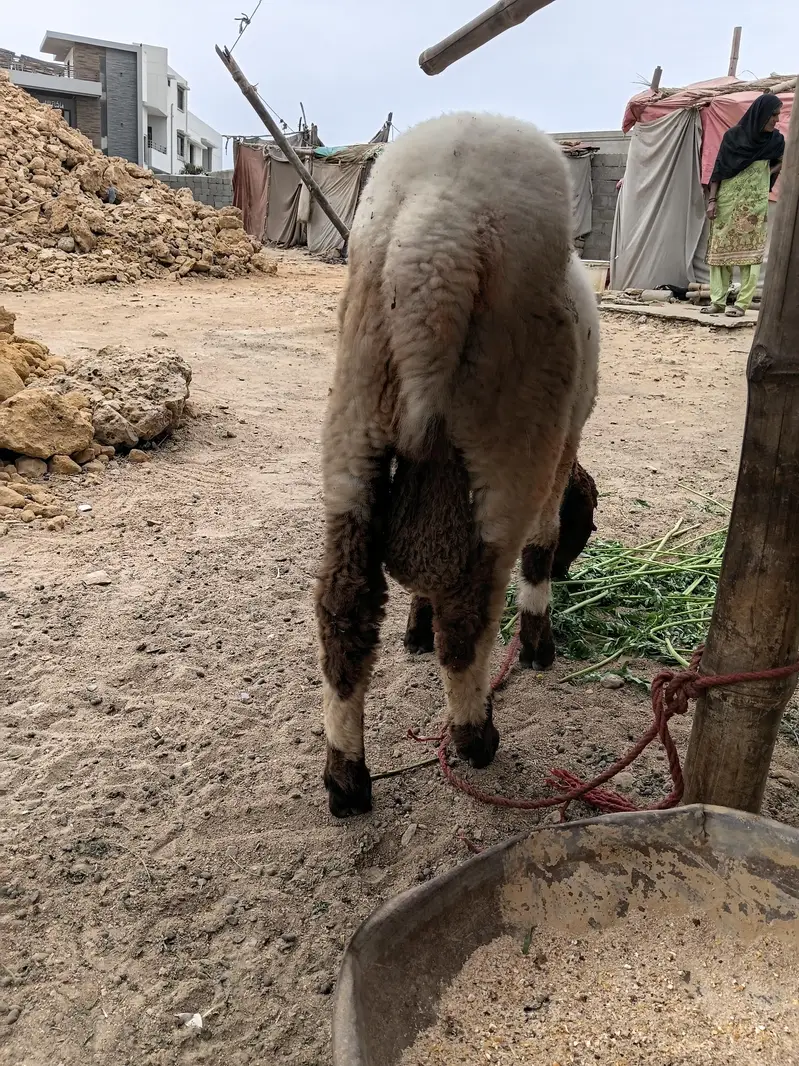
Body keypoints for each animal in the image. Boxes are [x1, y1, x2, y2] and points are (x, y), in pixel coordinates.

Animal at [315, 112, 599, 818]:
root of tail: (434, 233)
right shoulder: (563, 446)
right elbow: (543, 543)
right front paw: (539, 648)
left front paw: (413, 630)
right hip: (510, 441)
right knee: (470, 613)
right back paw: (476, 738)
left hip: (355, 418)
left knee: (344, 606)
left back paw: (346, 779)